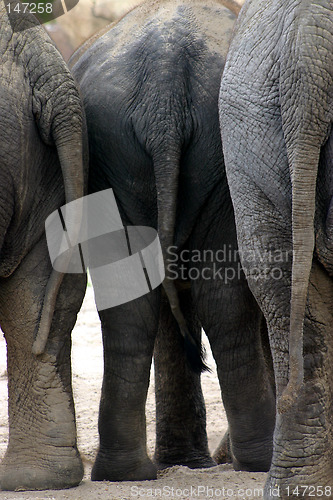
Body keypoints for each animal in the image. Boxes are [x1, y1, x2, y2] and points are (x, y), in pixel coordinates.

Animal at [70, 0, 274, 482]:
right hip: (220, 156)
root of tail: (165, 84)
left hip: (120, 157)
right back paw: (255, 462)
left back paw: (126, 472)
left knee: (132, 305)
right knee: (222, 302)